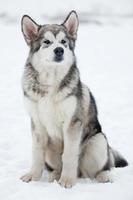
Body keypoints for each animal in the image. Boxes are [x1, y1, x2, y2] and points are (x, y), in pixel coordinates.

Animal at [20, 10, 128, 188]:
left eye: (64, 42)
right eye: (47, 42)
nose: (59, 50)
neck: (51, 83)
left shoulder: (72, 123)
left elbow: (69, 155)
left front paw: (67, 181)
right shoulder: (37, 123)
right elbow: (36, 154)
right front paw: (32, 176)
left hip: (98, 141)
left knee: (100, 167)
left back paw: (102, 176)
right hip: (51, 150)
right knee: (55, 166)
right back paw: (55, 175)